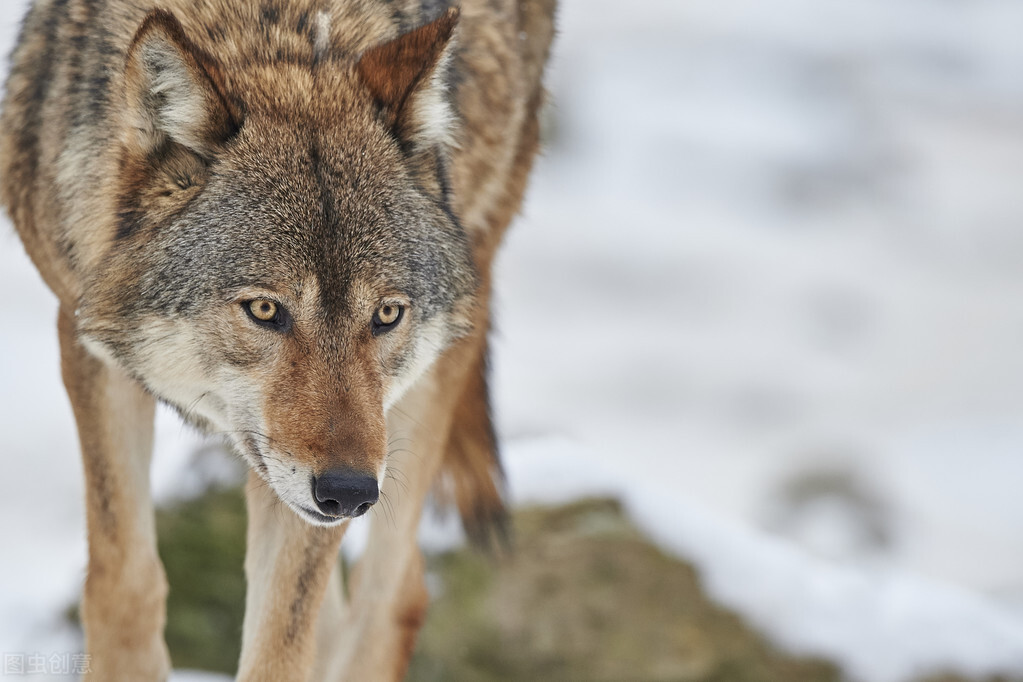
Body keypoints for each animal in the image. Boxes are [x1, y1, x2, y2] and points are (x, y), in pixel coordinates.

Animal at [0, 0, 556, 678]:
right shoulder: (89, 342)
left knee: (395, 595)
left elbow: (280, 645)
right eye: (266, 309)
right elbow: (123, 586)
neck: (278, 30)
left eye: (387, 314)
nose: (350, 494)